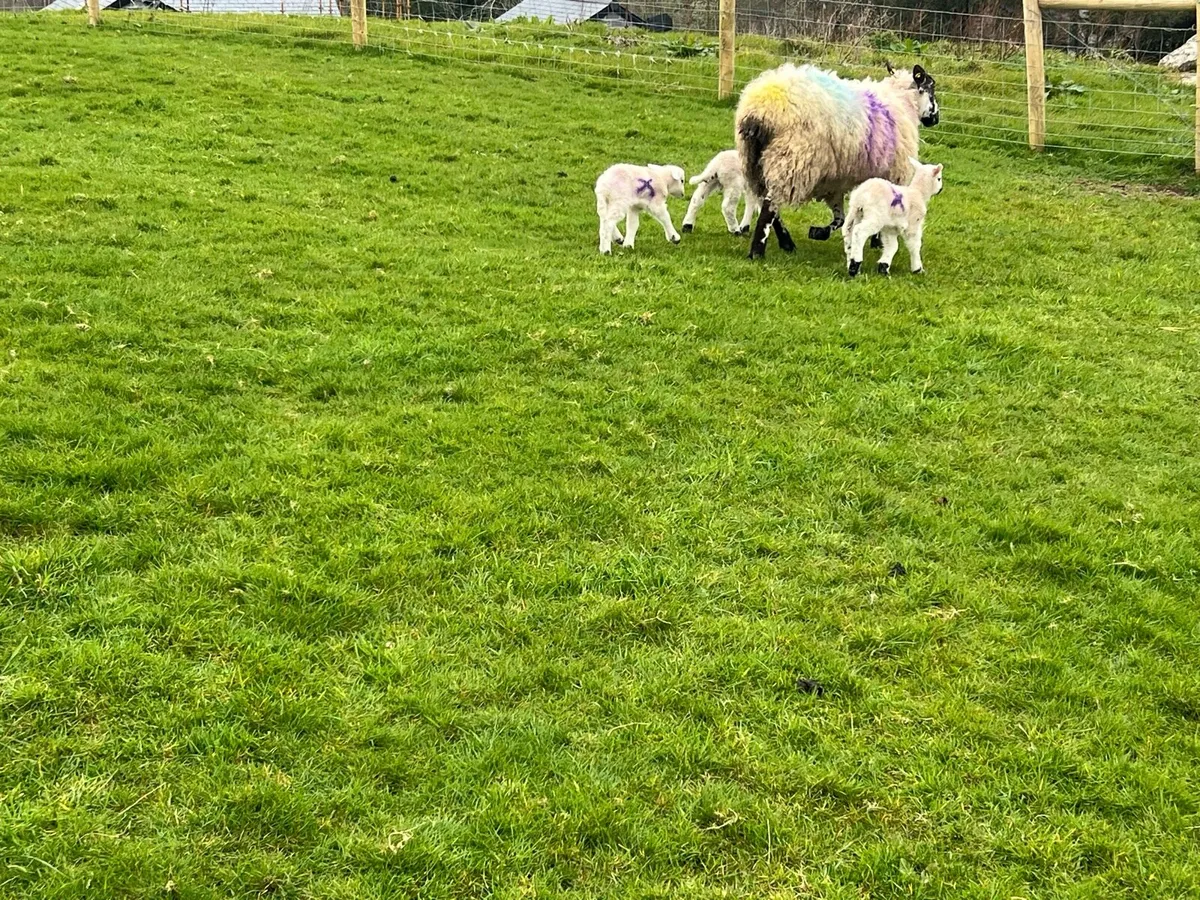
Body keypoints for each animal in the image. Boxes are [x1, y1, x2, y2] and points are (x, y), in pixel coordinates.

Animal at [735, 61, 940, 260]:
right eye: (931, 88)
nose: (936, 119)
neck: (903, 101)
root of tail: (761, 109)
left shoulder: (835, 181)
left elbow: (839, 218)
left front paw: (819, 232)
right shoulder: (893, 173)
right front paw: (877, 241)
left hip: (755, 161)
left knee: (769, 203)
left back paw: (787, 244)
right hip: (790, 159)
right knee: (770, 207)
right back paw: (757, 252)